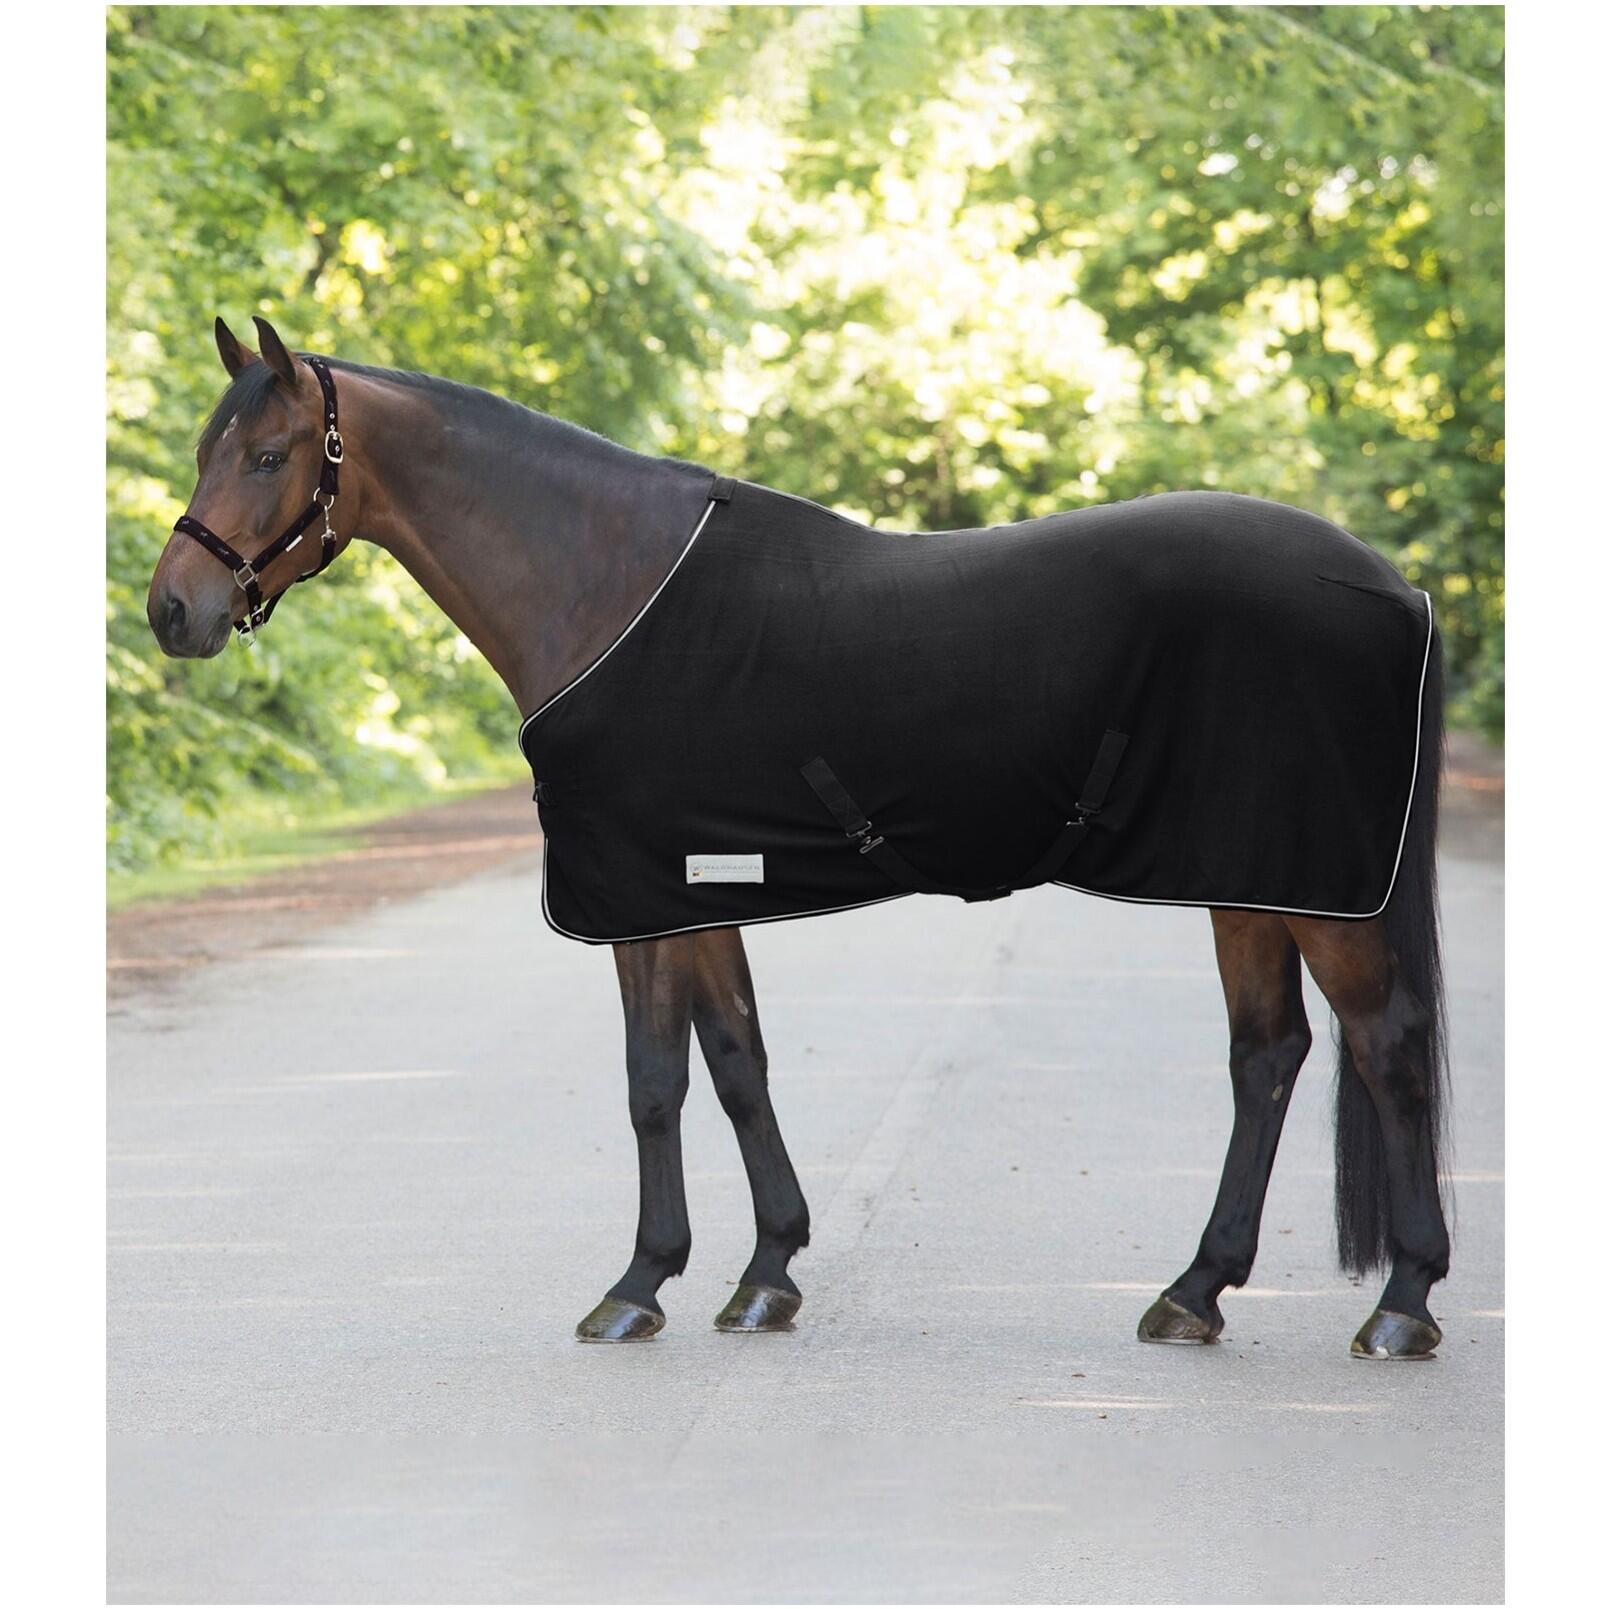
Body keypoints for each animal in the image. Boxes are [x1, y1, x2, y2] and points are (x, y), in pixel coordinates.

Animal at [144, 316, 1451, 1360]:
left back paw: (1401, 1304)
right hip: (1253, 879)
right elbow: (736, 1062)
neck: (604, 583)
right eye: (208, 450)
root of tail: (1395, 585)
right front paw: (766, 1272)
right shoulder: (700, 890)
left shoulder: (639, 896)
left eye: (268, 455)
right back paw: (1196, 1291)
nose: (171, 610)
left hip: (1305, 886)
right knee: (1268, 1054)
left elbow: (654, 1082)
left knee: (1382, 1044)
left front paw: (637, 1285)